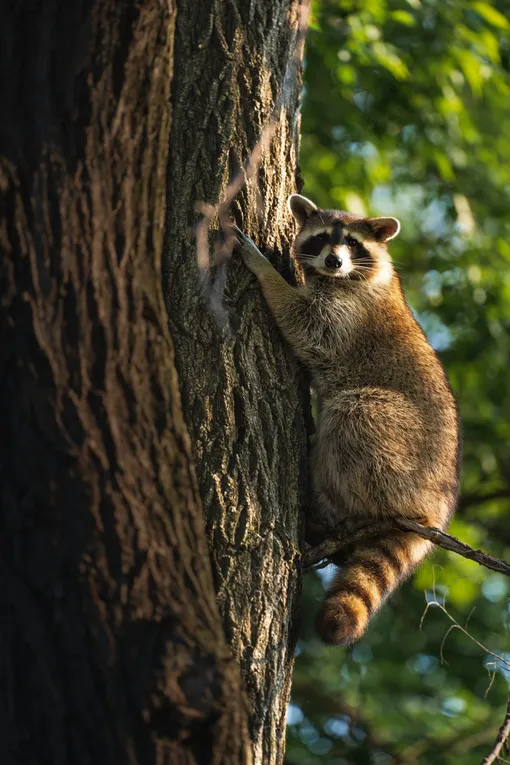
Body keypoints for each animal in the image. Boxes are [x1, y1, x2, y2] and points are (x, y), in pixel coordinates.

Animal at [233, 195, 460, 644]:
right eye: (323, 238)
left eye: (353, 244)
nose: (334, 261)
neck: (338, 278)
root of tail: (436, 506)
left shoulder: (348, 311)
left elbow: (305, 324)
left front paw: (264, 270)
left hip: (402, 449)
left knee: (353, 415)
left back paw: (331, 507)